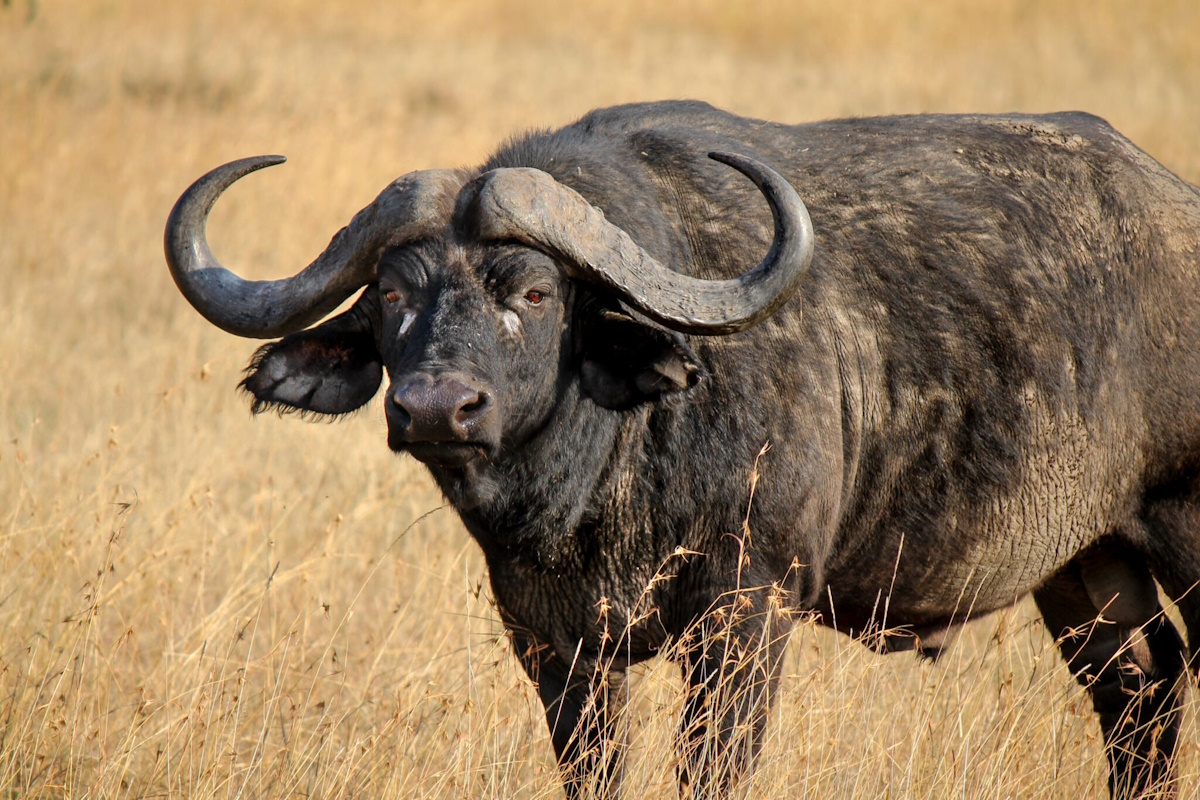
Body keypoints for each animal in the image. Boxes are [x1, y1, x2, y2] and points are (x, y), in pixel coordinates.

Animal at [166, 103, 1200, 796]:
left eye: (535, 292)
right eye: (390, 295)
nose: (434, 408)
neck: (602, 481)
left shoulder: (748, 612)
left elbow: (711, 771)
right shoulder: (552, 641)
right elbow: (593, 772)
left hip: (1180, 530)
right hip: (1084, 563)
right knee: (1141, 696)